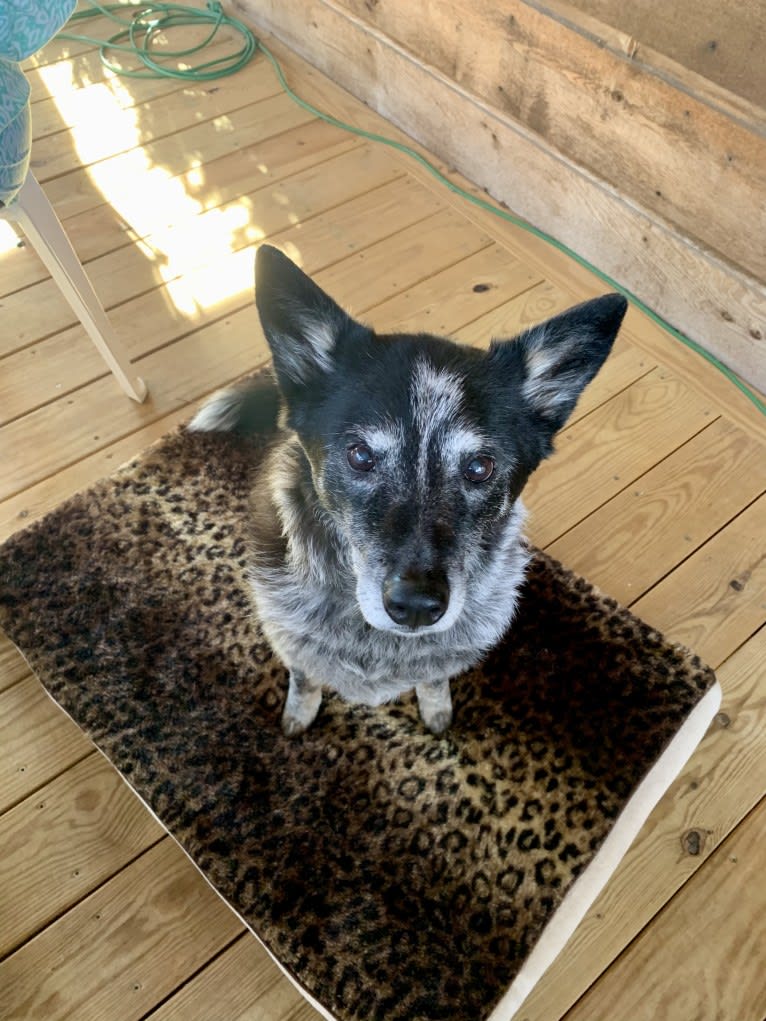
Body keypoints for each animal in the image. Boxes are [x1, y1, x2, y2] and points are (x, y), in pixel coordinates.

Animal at [188, 245, 625, 735]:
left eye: (480, 467)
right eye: (360, 455)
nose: (416, 606)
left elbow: (433, 679)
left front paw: (436, 710)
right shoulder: (293, 643)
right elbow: (305, 677)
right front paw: (299, 714)